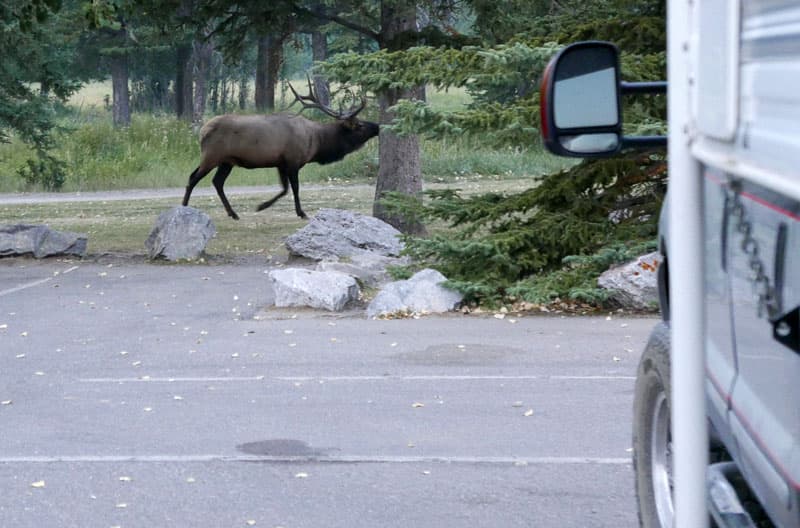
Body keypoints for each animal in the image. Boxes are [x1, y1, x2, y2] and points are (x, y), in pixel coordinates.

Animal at [183, 77, 380, 220]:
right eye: (360, 125)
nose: (377, 126)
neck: (316, 143)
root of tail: (202, 131)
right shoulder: (293, 161)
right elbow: (294, 188)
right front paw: (301, 213)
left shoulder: (280, 162)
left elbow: (284, 189)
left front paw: (262, 206)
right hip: (212, 155)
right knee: (193, 177)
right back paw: (184, 206)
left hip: (226, 161)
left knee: (217, 181)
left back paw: (233, 213)